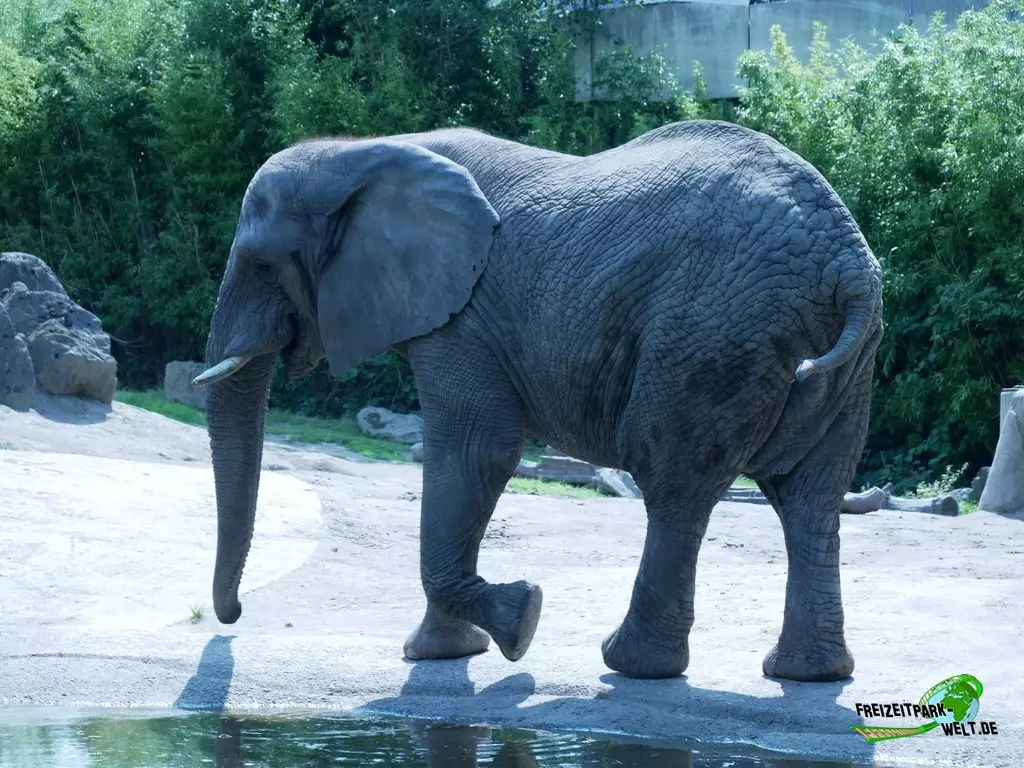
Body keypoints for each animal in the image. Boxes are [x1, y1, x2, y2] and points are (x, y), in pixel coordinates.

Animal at [193, 119, 883, 683]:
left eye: (261, 264)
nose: (233, 615)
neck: (361, 152)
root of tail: (847, 260)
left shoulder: (463, 318)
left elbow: (477, 450)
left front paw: (518, 621)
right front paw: (450, 651)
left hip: (709, 330)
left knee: (676, 484)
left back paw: (631, 665)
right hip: (839, 361)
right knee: (810, 495)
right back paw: (809, 673)